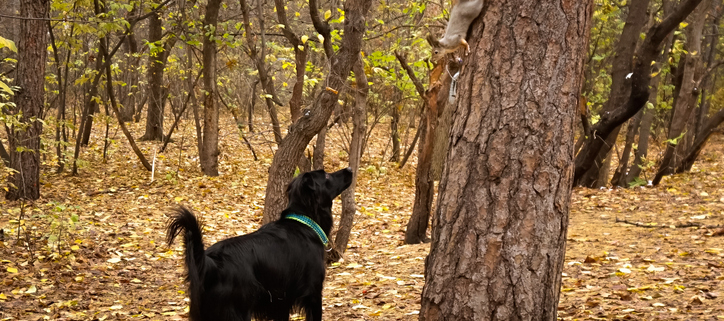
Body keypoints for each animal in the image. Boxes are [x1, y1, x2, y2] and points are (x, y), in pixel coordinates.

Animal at [167, 168, 354, 320]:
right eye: (327, 175)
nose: (350, 169)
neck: (304, 222)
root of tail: (209, 262)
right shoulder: (313, 294)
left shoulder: (281, 302)